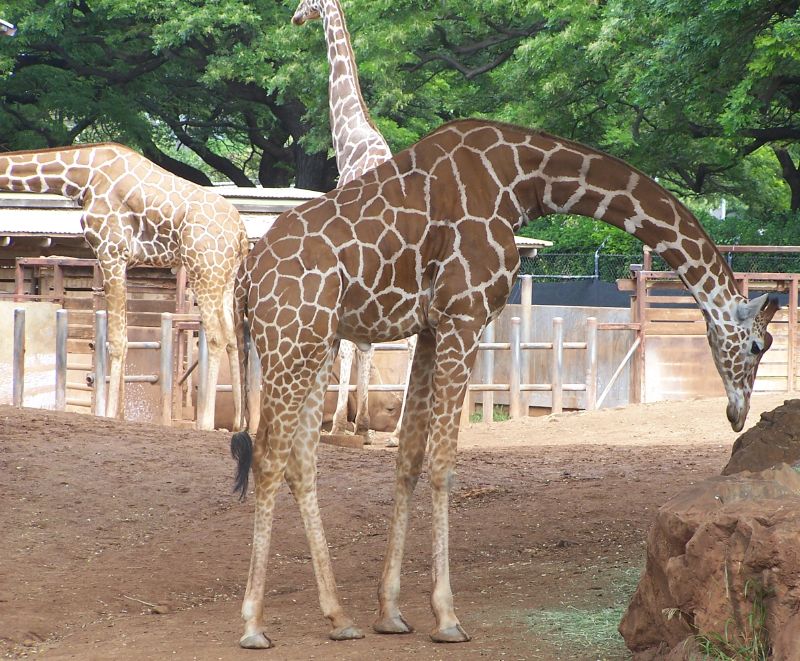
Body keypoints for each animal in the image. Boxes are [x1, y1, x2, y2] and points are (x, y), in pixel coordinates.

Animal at [0, 143, 249, 431]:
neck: (81, 175)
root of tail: (241, 233)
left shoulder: (110, 251)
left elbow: (116, 340)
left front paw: (107, 413)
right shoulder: (125, 261)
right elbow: (126, 337)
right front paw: (120, 414)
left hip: (204, 270)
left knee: (217, 336)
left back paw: (206, 422)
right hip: (226, 277)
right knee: (232, 337)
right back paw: (239, 422)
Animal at [230, 119, 778, 648]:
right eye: (759, 345)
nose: (737, 414)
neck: (525, 182)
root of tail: (246, 274)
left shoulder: (430, 327)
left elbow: (408, 458)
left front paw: (390, 613)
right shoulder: (464, 315)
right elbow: (443, 463)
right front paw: (447, 617)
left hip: (314, 340)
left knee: (301, 460)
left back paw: (340, 618)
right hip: (290, 338)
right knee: (268, 456)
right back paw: (254, 625)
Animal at [292, 0, 415, 445]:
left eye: (304, 1)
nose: (295, 17)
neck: (350, 142)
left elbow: (347, 342)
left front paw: (342, 424)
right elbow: (364, 344)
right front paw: (360, 424)